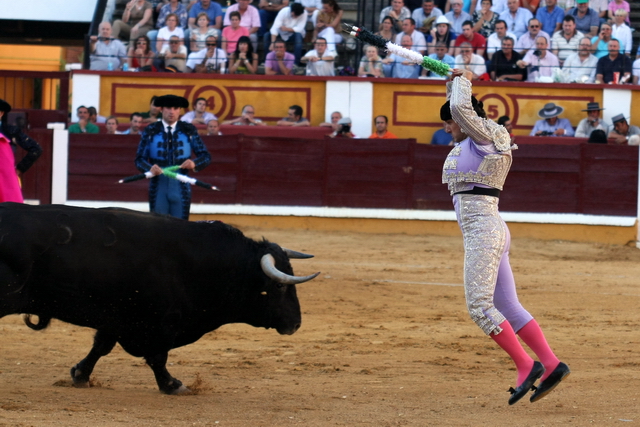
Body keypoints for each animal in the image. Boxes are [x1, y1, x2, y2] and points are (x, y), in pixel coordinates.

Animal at [0, 203, 318, 394]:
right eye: (279, 287)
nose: (296, 324)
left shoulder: (118, 318)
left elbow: (100, 347)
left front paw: (79, 375)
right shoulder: (159, 322)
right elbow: (157, 357)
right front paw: (173, 384)